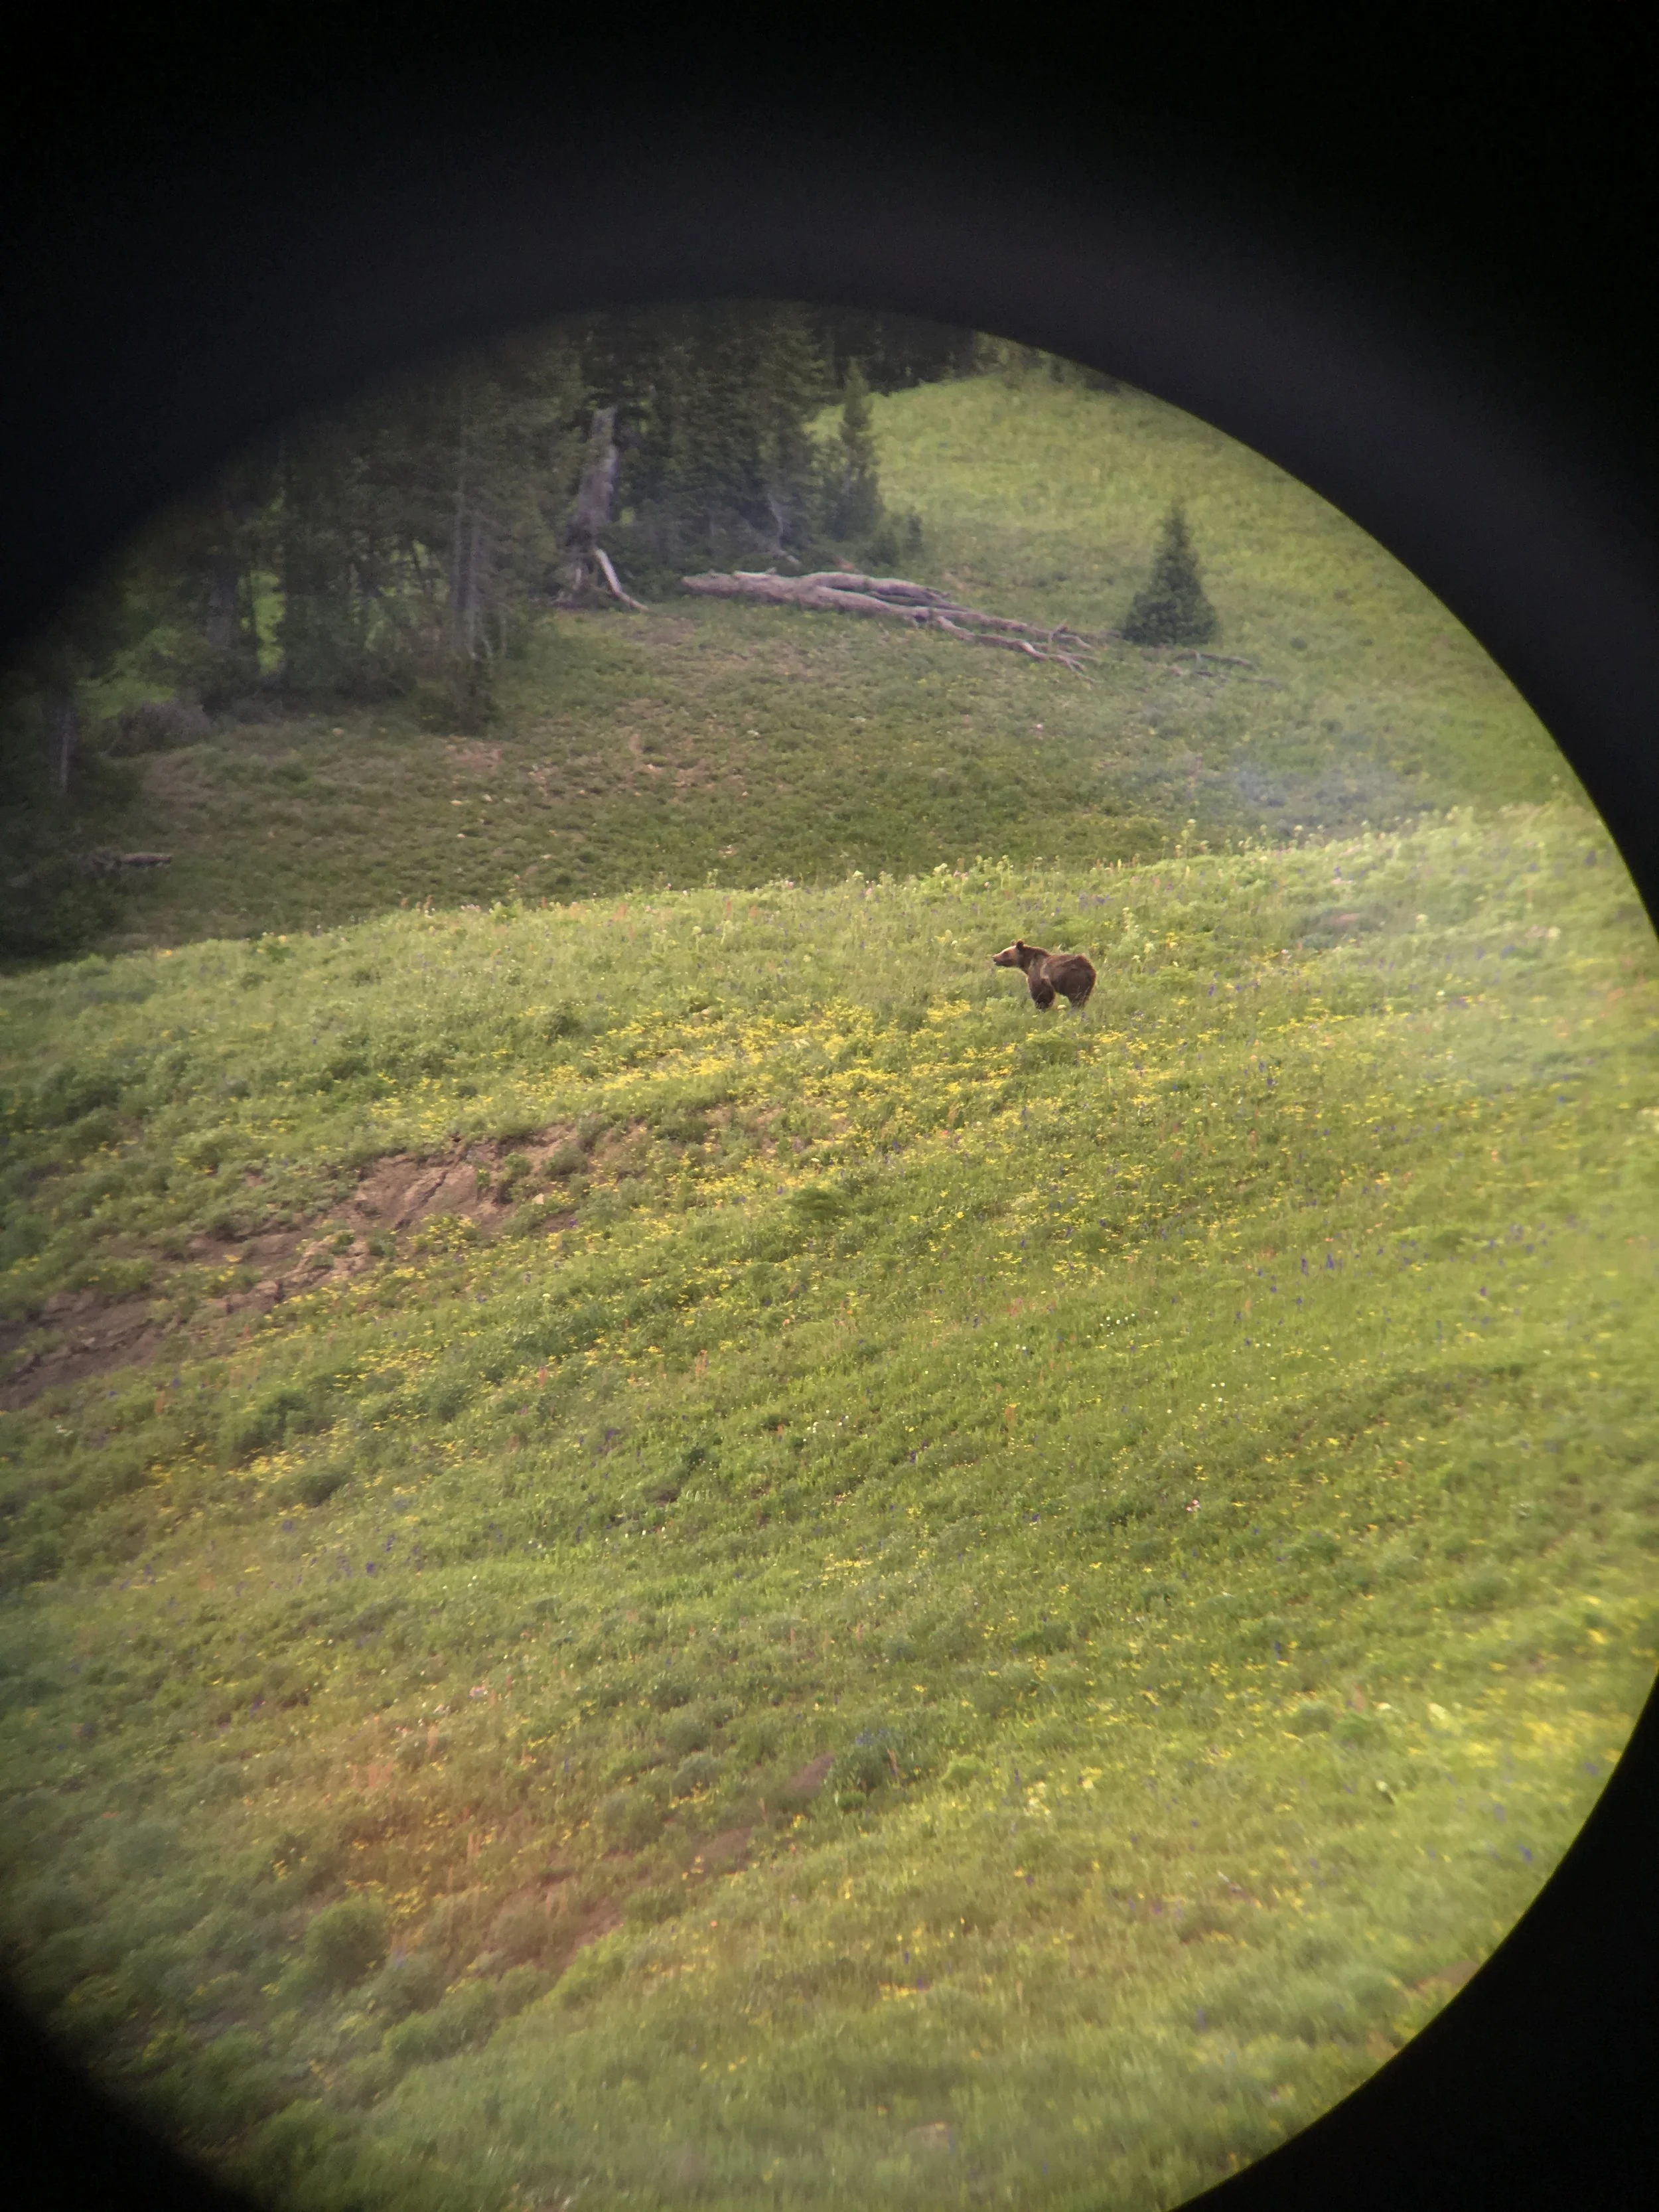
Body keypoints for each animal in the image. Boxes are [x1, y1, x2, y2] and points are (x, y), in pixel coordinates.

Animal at [992, 940, 1096, 1011]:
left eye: (1005, 953)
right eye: (1003, 951)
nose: (994, 957)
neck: (1027, 964)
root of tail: (1089, 968)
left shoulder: (1038, 976)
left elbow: (1041, 994)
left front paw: (1042, 1008)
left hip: (1072, 979)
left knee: (1076, 997)